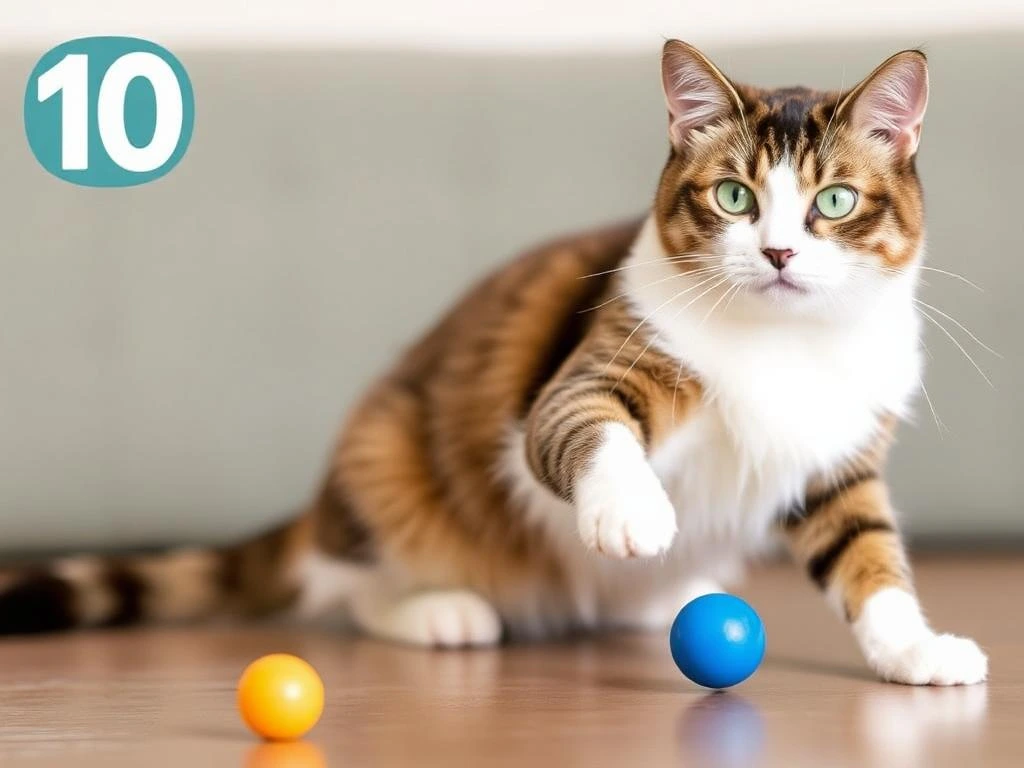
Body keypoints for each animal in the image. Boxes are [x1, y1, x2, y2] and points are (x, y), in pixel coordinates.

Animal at [2, 40, 991, 684]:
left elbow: (870, 559)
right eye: (734, 197)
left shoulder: (839, 459)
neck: (784, 339)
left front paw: (914, 649)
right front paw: (630, 510)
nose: (780, 253)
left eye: (835, 201)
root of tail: (317, 510)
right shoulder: (595, 369)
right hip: (385, 459)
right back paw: (442, 610)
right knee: (349, 588)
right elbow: (588, 426)